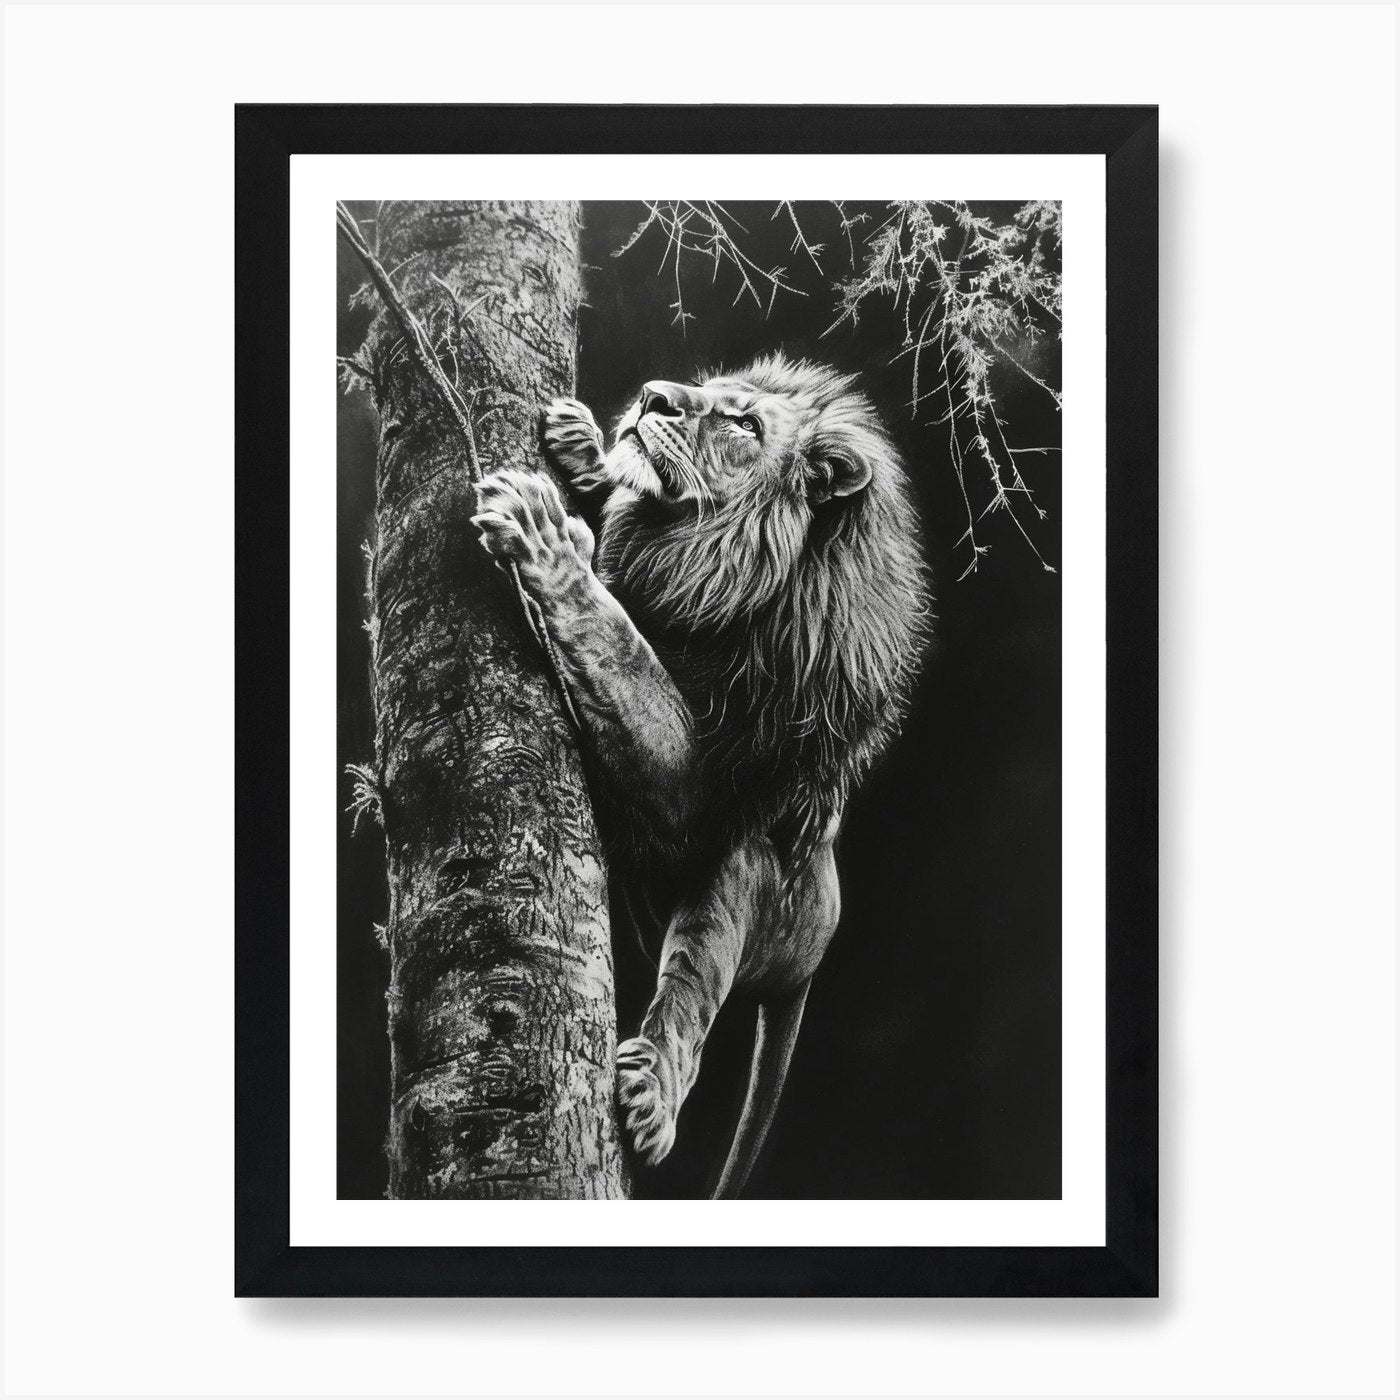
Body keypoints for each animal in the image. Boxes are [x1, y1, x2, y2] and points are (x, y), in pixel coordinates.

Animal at [472, 354, 930, 1196]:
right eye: (703, 390)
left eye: (744, 424)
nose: (654, 397)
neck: (706, 562)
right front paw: (585, 448)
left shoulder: (697, 791)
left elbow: (621, 647)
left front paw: (547, 537)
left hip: (744, 876)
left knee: (690, 997)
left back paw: (654, 1095)